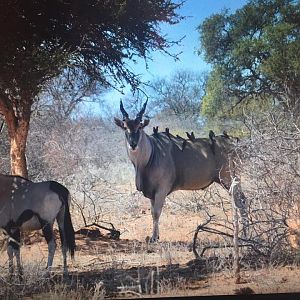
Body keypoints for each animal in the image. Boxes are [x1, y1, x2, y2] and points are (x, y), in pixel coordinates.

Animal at [113, 101, 247, 241]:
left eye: (139, 126)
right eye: (125, 127)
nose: (133, 144)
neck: (153, 152)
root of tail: (236, 145)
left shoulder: (161, 189)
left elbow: (156, 213)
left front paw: (154, 238)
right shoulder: (152, 193)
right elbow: (152, 212)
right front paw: (156, 236)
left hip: (228, 179)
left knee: (241, 201)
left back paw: (244, 234)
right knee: (241, 200)